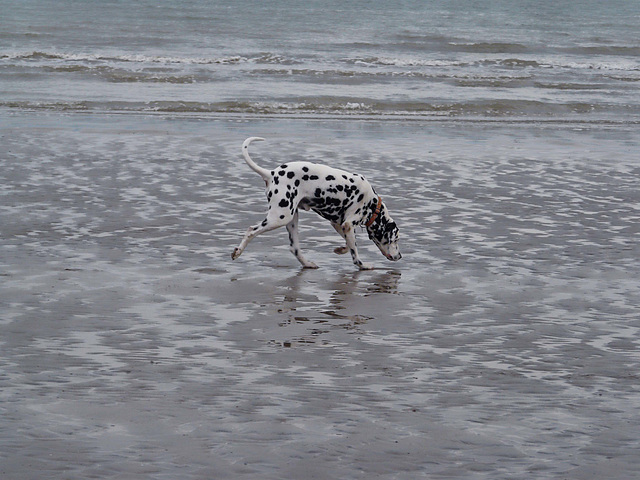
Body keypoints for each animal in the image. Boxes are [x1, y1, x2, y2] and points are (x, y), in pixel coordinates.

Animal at [231, 137, 400, 270]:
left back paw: (307, 264)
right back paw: (237, 252)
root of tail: (271, 174)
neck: (373, 205)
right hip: (280, 217)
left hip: (292, 219)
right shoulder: (348, 225)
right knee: (251, 230)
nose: (400, 256)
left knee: (294, 248)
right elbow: (354, 252)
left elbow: (349, 244)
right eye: (396, 239)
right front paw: (363, 265)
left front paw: (340, 249)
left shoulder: (339, 224)